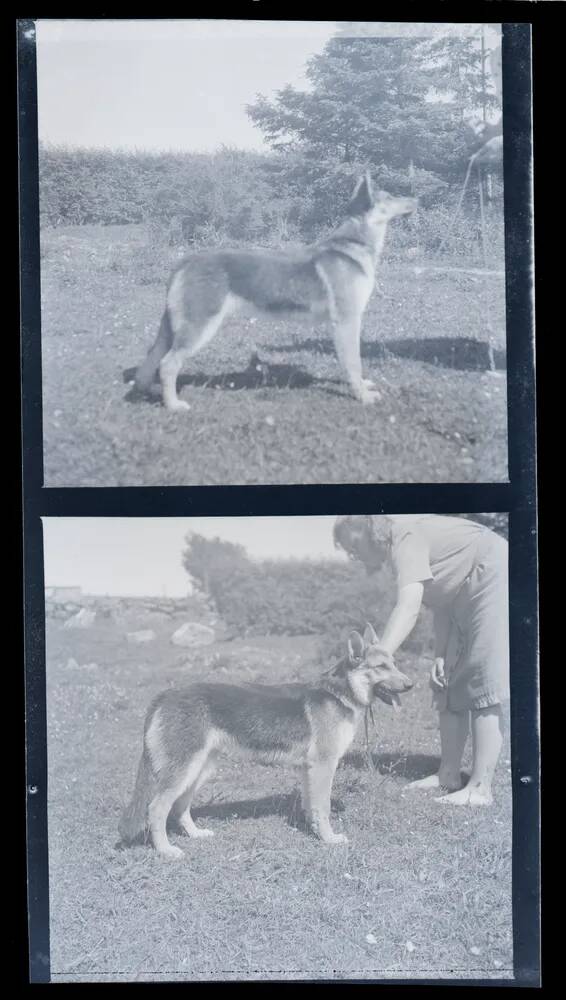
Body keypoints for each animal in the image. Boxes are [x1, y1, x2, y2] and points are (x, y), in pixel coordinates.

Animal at [118, 624, 412, 860]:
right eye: (381, 667)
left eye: (395, 663)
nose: (411, 685)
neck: (339, 694)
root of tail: (166, 695)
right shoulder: (324, 766)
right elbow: (324, 807)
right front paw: (329, 839)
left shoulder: (309, 770)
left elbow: (312, 807)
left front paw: (314, 832)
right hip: (184, 772)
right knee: (157, 808)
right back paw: (166, 850)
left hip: (199, 771)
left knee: (180, 807)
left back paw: (196, 834)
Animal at [131, 173, 420, 410]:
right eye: (390, 197)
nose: (415, 198)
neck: (353, 242)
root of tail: (186, 261)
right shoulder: (348, 322)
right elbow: (353, 363)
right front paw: (362, 396)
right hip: (199, 328)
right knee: (168, 364)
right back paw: (173, 405)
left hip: (175, 330)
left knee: (153, 358)